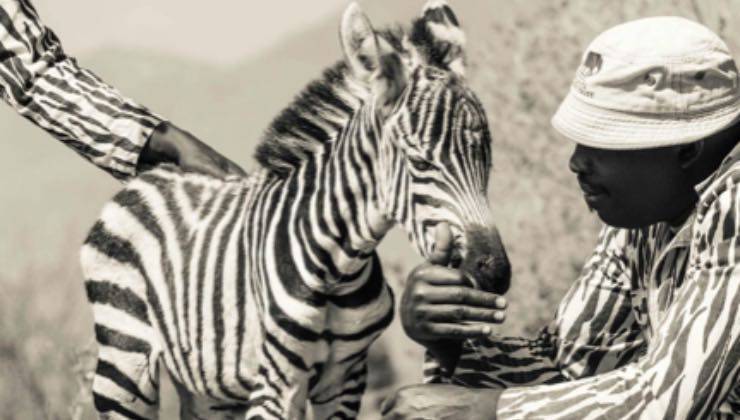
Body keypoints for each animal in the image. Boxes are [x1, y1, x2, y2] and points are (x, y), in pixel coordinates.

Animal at [79, 1, 510, 419]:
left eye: (487, 160)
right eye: (420, 161)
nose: (495, 272)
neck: (340, 270)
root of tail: (151, 175)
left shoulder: (346, 378)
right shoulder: (276, 381)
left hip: (205, 381)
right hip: (126, 361)